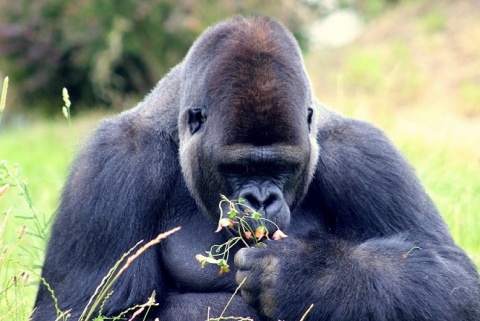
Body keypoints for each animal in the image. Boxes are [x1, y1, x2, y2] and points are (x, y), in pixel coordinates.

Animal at [33, 15, 480, 320]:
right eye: (237, 167)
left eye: (282, 166)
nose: (260, 200)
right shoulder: (111, 165)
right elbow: (85, 309)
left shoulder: (367, 156)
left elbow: (453, 281)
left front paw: (307, 276)